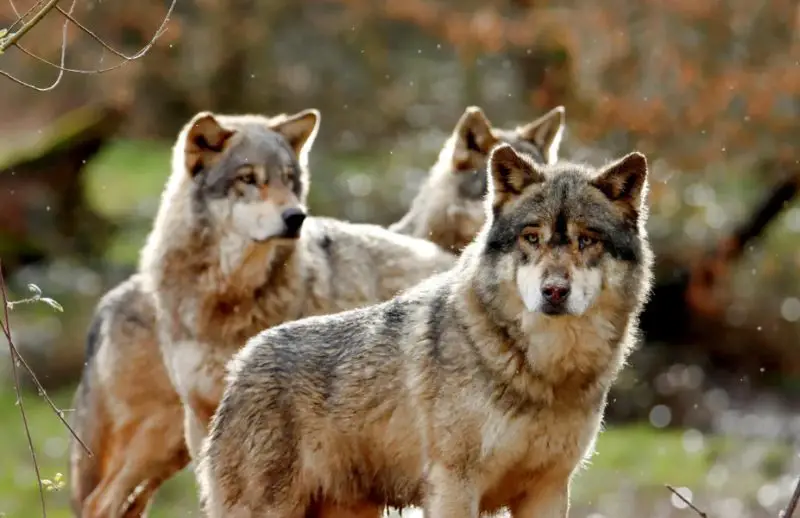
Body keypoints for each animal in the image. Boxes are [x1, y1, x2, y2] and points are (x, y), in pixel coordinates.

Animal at [68, 104, 567, 518]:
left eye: (290, 179)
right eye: (249, 178)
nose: (295, 217)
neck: (226, 301)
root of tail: (109, 301)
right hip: (163, 441)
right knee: (100, 502)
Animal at [198, 143, 654, 518]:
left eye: (586, 240)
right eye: (531, 237)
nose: (554, 291)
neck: (543, 371)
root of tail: (242, 360)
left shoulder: (548, 489)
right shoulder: (454, 485)